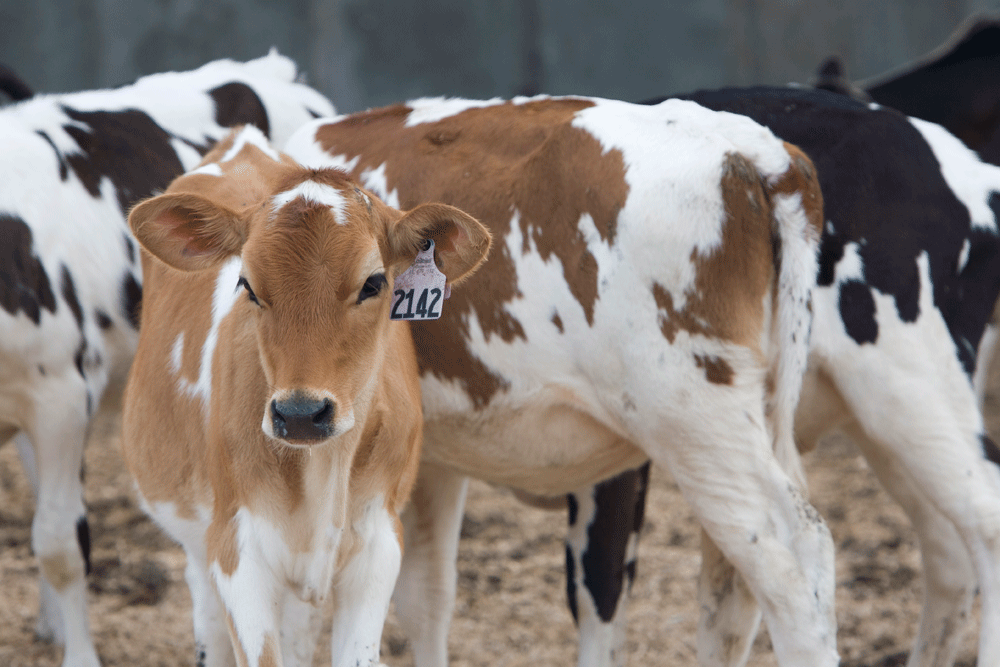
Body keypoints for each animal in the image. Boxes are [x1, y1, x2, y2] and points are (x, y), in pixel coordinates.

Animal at [121, 125, 492, 667]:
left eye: (373, 283)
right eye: (247, 285)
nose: (300, 414)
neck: (323, 467)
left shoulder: (378, 544)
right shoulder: (237, 552)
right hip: (197, 538)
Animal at [288, 95, 836, 667]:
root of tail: (750, 147)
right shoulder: (431, 457)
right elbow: (426, 595)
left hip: (696, 418)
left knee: (795, 560)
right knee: (731, 590)